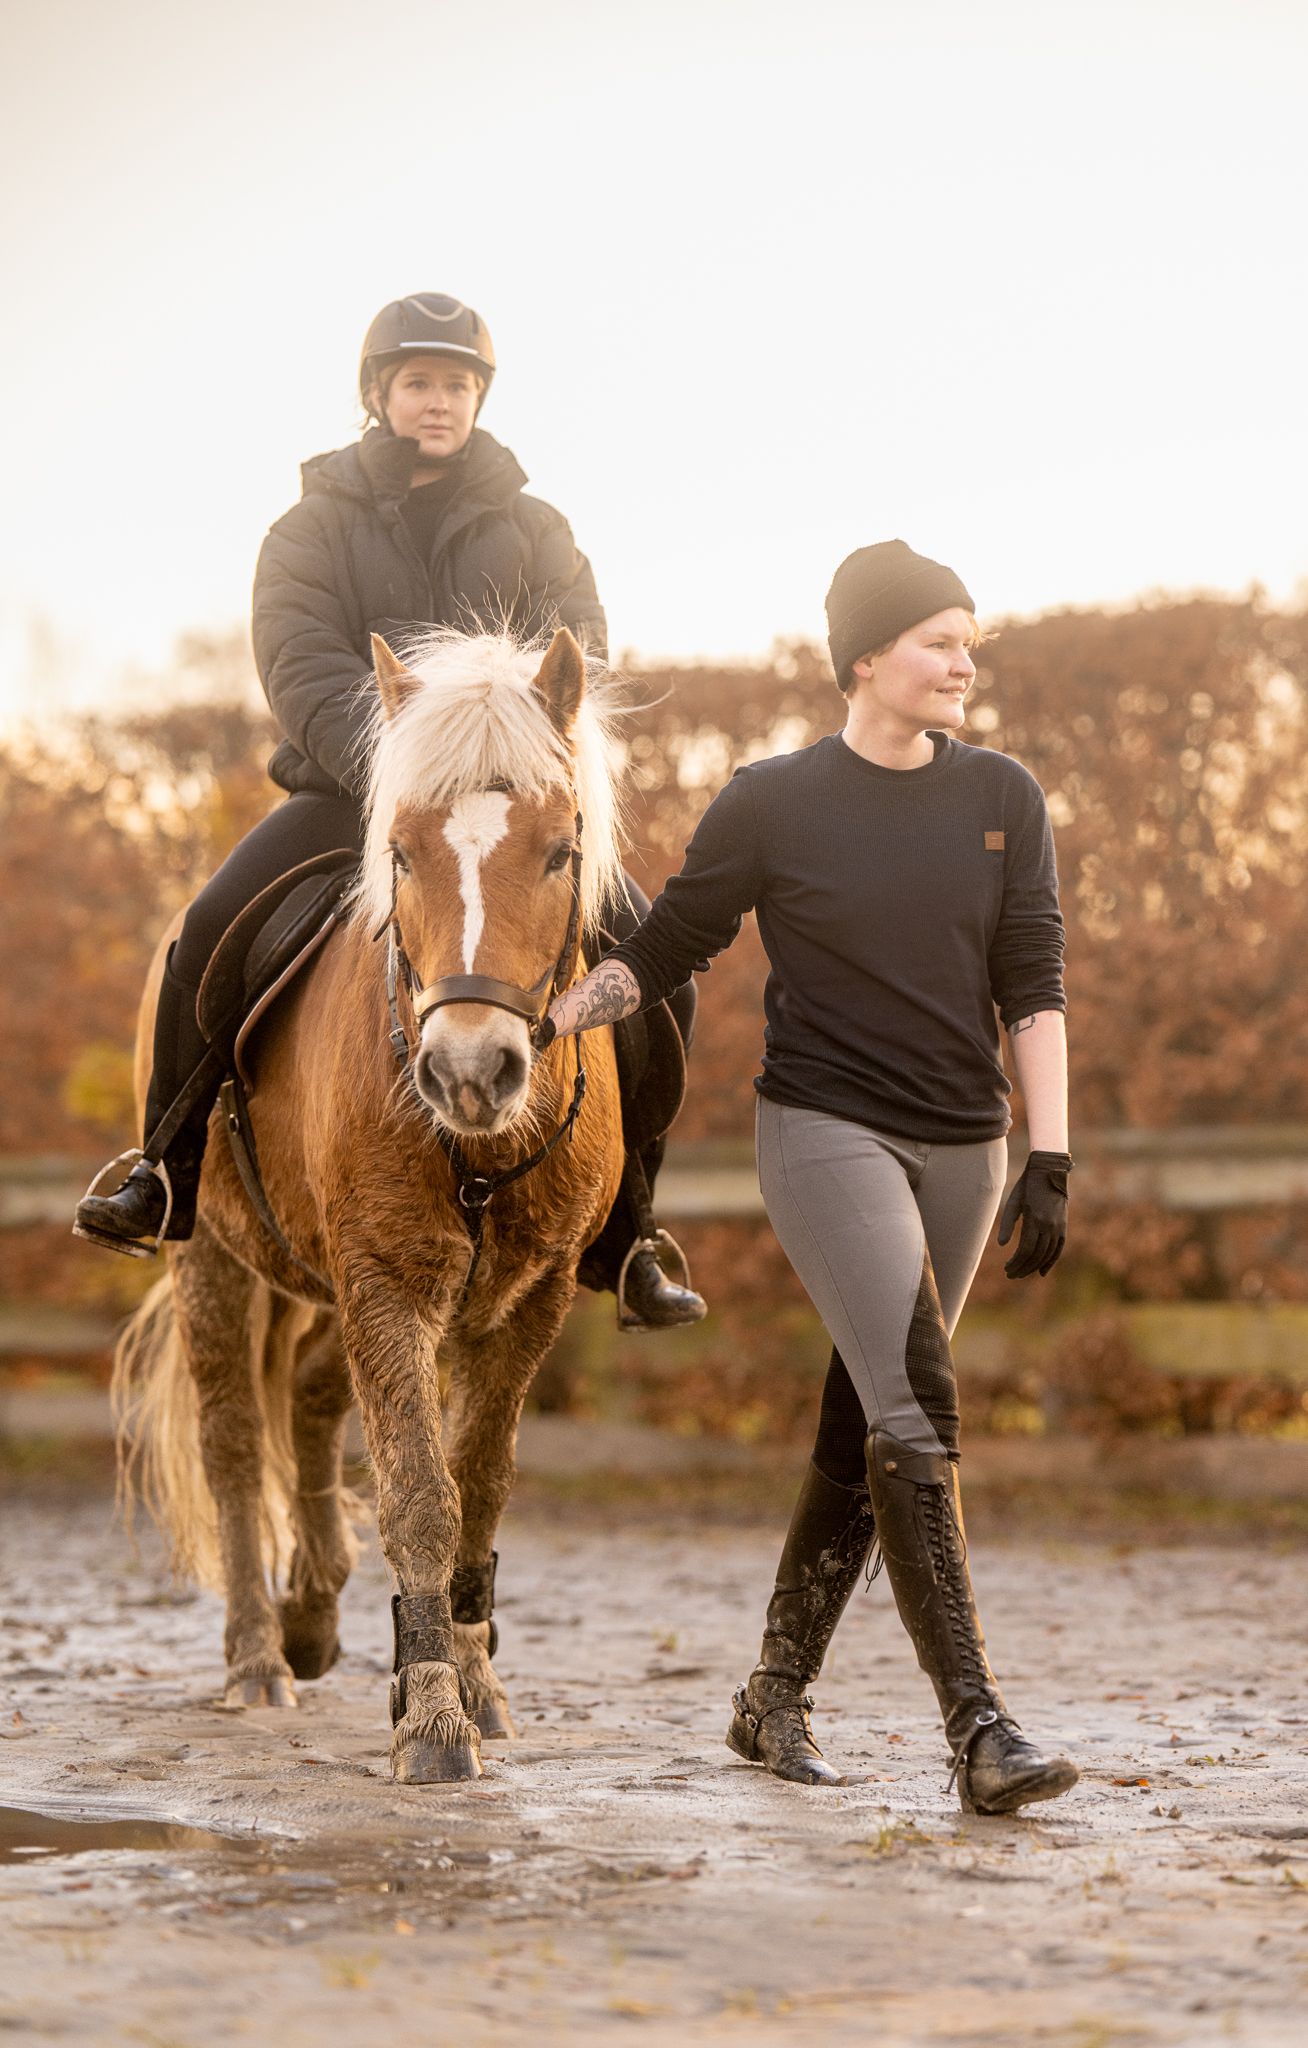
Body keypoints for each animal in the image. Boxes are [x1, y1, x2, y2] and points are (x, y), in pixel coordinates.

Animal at [113, 626, 627, 1783]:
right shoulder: (386, 1284)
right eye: (398, 852)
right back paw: (259, 1657)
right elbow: (422, 1494)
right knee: (231, 1439)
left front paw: (474, 1686)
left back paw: (310, 1612)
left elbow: (477, 1485)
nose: (471, 1069)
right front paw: (433, 1714)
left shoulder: (524, 1302)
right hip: (213, 1256)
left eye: (558, 851)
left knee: (307, 1395)